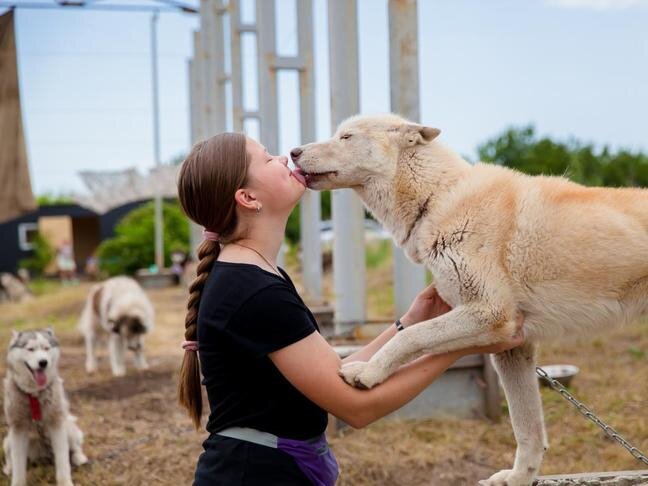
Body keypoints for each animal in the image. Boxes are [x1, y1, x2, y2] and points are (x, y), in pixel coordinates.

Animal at [2, 328, 87, 484]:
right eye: (30, 349)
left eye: (46, 348)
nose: (43, 362)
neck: (34, 394)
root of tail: (43, 455)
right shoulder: (18, 428)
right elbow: (18, 465)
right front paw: (17, 481)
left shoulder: (57, 424)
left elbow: (63, 461)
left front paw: (65, 482)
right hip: (8, 440)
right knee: (10, 457)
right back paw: (8, 468)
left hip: (69, 429)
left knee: (75, 447)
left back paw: (79, 457)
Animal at [294, 114, 648, 486]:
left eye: (345, 137)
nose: (293, 152)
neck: (437, 199)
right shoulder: (514, 349)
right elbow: (527, 431)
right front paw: (518, 479)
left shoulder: (490, 315)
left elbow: (410, 336)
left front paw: (369, 371)